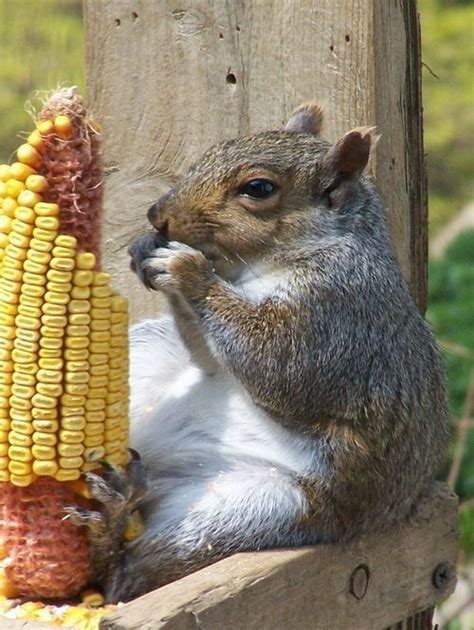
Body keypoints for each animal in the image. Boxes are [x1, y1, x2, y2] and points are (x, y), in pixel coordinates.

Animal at [73, 105, 448, 608]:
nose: (157, 216)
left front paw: (188, 270)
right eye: (211, 151)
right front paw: (147, 249)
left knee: (125, 577)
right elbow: (210, 357)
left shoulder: (334, 318)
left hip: (246, 513)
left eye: (258, 188)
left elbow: (275, 366)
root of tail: (157, 470)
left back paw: (109, 527)